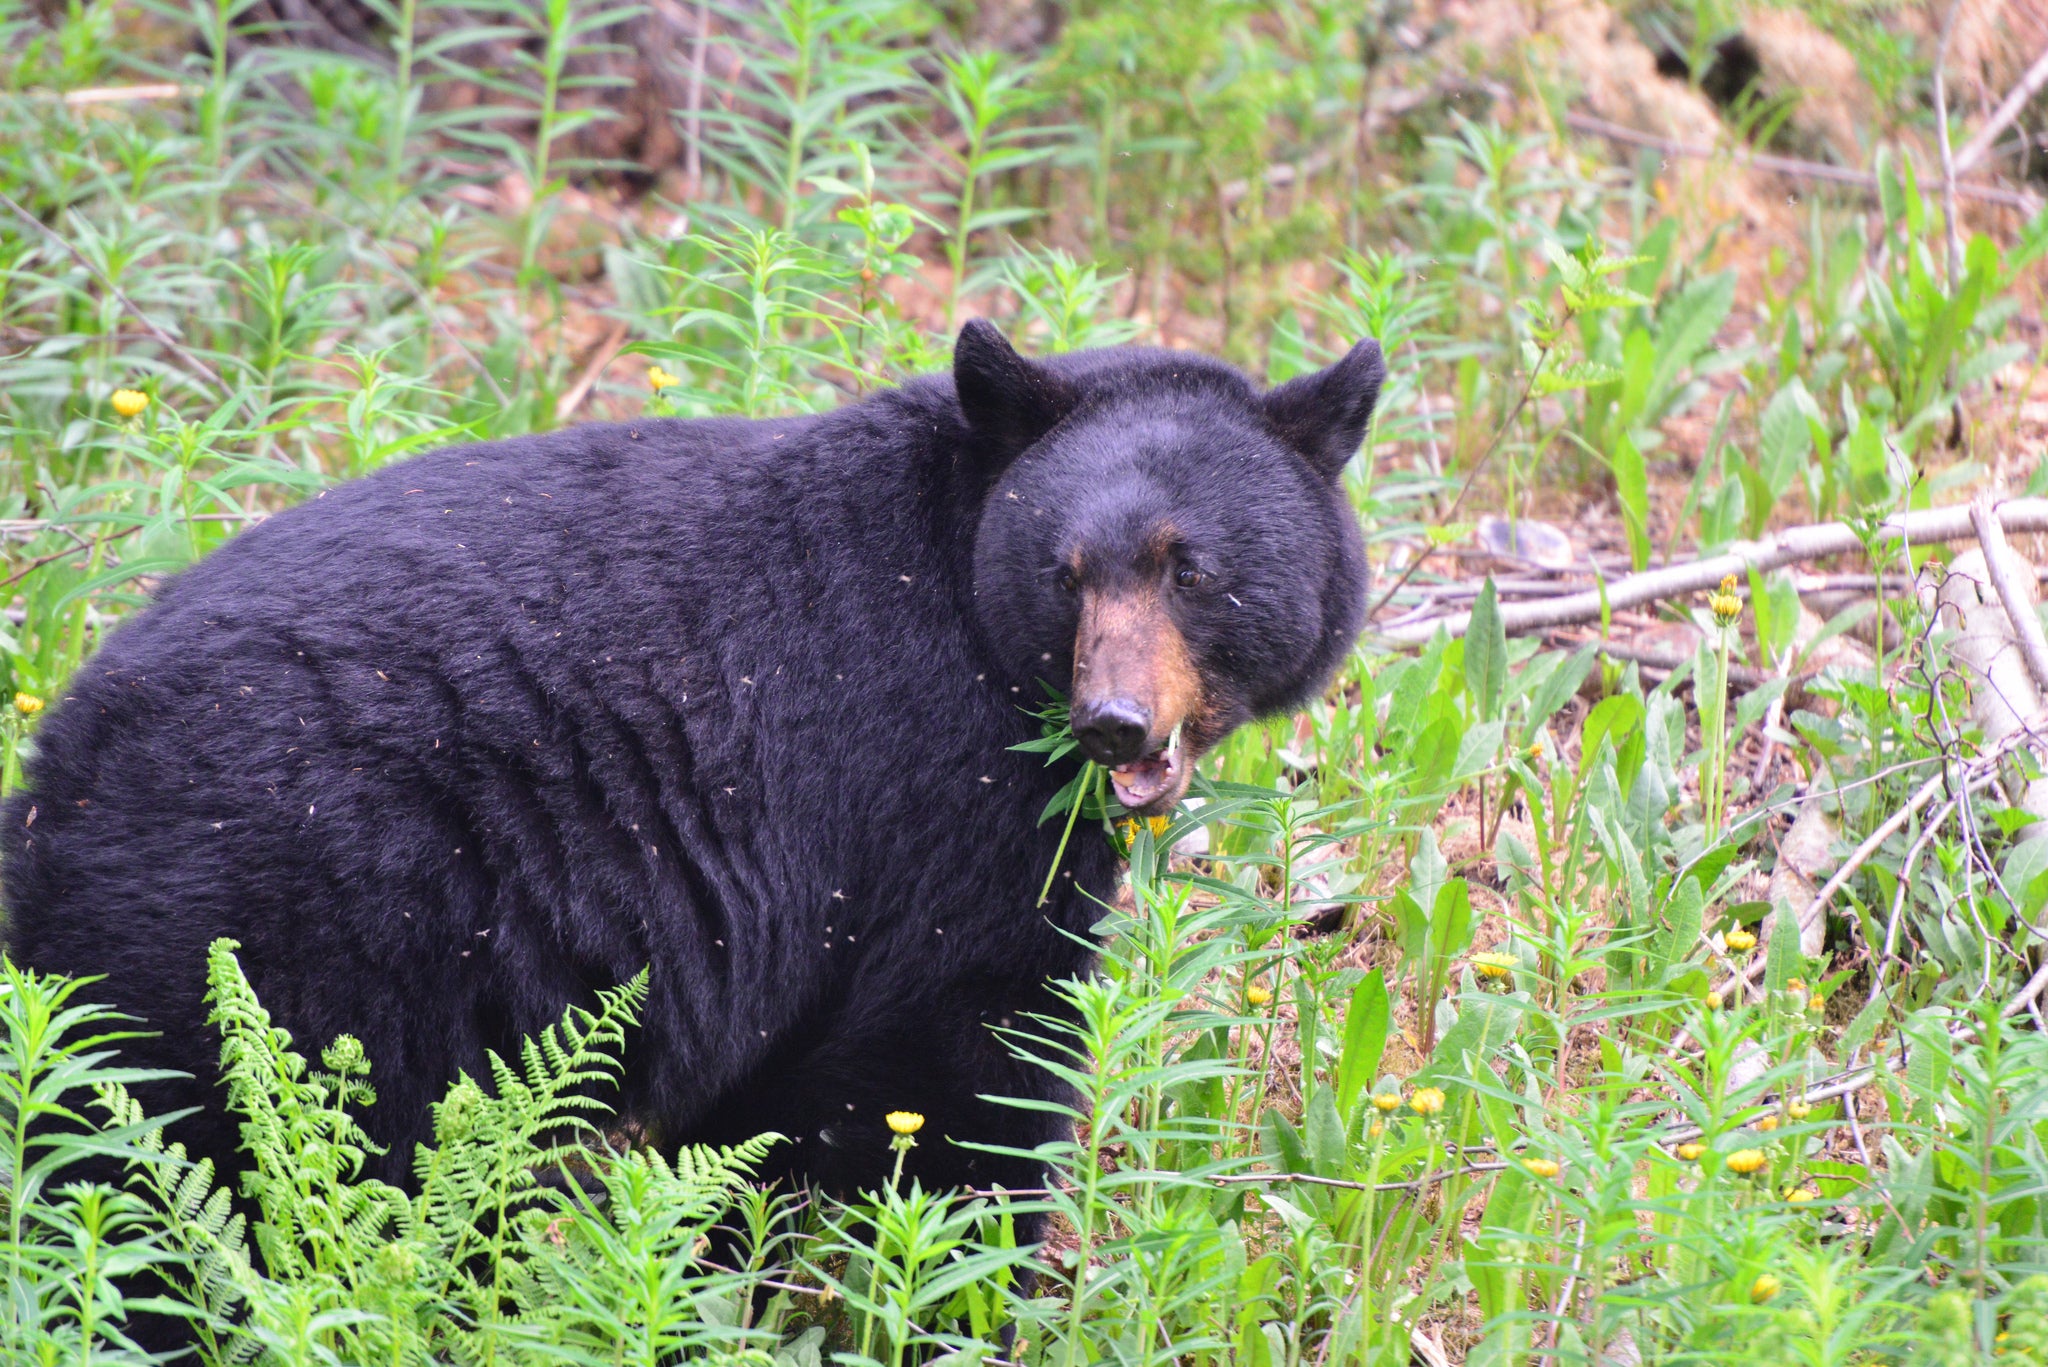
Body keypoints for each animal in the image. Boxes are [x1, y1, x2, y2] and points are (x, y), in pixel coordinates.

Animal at [3, 319, 1380, 1218]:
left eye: (1188, 567)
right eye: (1066, 571)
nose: (1111, 723)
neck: (955, 579)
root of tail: (53, 776)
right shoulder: (930, 780)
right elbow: (947, 1055)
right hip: (281, 914)